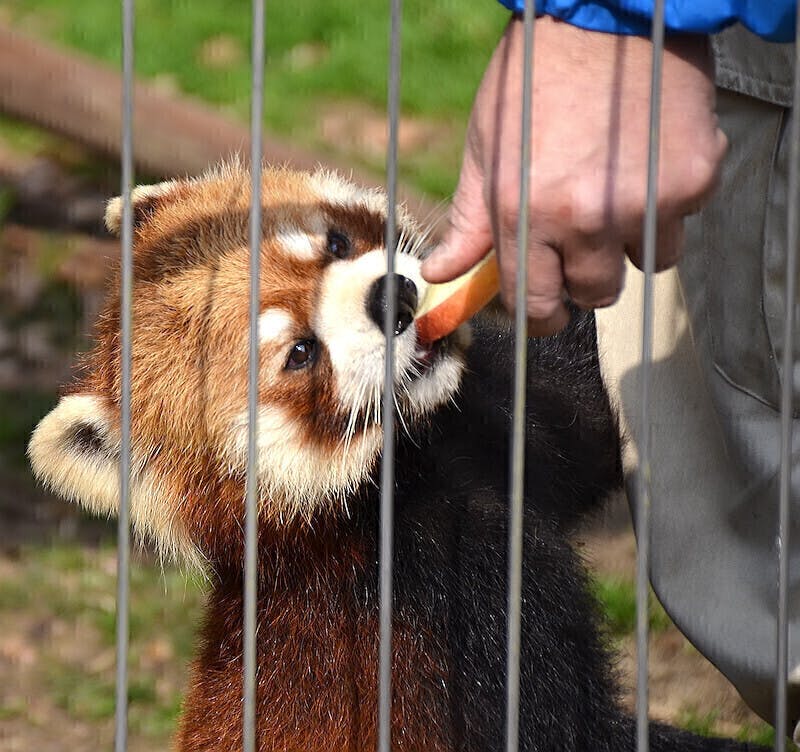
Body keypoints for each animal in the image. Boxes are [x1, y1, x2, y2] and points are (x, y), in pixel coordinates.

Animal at [28, 166, 764, 752]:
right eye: (300, 353)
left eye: (334, 242)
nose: (393, 298)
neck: (412, 474)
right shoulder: (429, 624)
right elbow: (574, 730)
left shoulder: (497, 427)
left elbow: (589, 398)